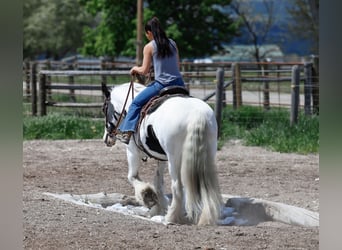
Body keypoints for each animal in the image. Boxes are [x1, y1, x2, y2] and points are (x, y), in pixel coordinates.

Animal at [101, 81, 223, 225]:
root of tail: (197, 114)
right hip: (208, 155)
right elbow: (158, 181)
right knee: (207, 186)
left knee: (177, 187)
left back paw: (172, 217)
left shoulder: (132, 151)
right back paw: (205, 217)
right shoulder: (161, 158)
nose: (106, 139)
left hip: (174, 159)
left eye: (104, 108)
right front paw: (158, 206)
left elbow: (132, 177)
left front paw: (147, 195)